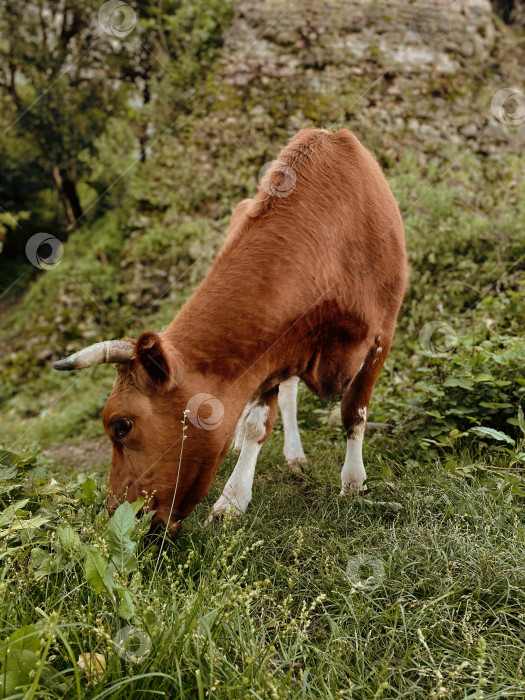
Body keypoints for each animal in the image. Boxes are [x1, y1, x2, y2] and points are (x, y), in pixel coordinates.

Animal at [54, 129, 406, 532]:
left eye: (121, 426)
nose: (118, 516)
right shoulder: (269, 348)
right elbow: (256, 425)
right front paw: (233, 500)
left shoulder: (382, 334)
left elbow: (354, 411)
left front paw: (353, 483)